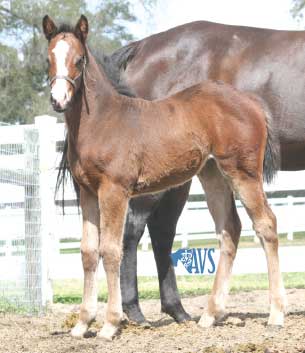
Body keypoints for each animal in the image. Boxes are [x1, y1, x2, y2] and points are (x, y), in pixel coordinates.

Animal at [42, 15, 284, 340]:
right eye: (49, 60)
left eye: (79, 60)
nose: (59, 100)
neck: (102, 121)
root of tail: (252, 102)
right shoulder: (87, 192)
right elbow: (88, 252)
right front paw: (82, 324)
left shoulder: (114, 190)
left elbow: (111, 250)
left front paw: (109, 324)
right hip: (213, 175)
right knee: (229, 229)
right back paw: (210, 315)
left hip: (243, 173)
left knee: (266, 224)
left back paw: (276, 314)